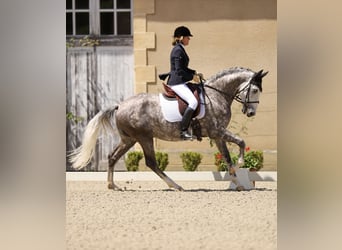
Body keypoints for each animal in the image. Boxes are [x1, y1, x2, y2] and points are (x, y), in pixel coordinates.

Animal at [69, 67, 268, 191]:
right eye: (255, 90)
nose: (251, 113)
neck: (216, 94)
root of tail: (120, 106)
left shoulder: (218, 136)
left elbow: (227, 157)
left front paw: (238, 182)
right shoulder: (217, 132)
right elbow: (241, 142)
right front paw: (241, 164)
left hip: (129, 139)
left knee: (112, 157)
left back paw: (113, 186)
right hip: (144, 138)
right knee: (151, 163)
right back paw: (176, 186)